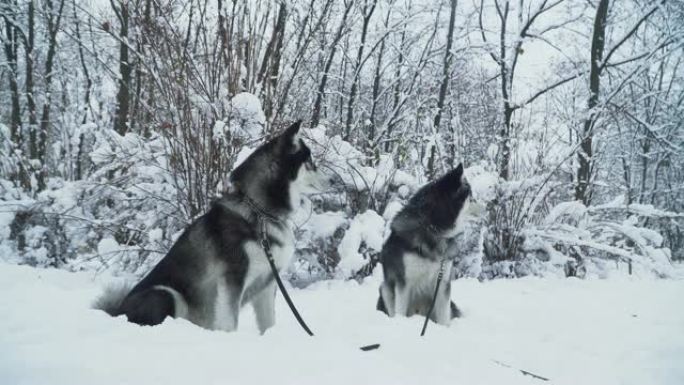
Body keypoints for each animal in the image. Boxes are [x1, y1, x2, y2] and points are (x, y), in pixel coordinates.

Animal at [95, 121, 324, 332]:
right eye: (310, 162)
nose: (332, 180)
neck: (259, 212)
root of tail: (117, 312)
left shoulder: (266, 282)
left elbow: (268, 322)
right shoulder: (232, 280)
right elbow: (230, 322)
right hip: (166, 293)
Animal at [376, 164, 472, 326]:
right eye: (470, 196)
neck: (432, 227)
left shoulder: (443, 283)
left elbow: (444, 318)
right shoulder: (404, 282)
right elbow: (400, 310)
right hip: (385, 288)